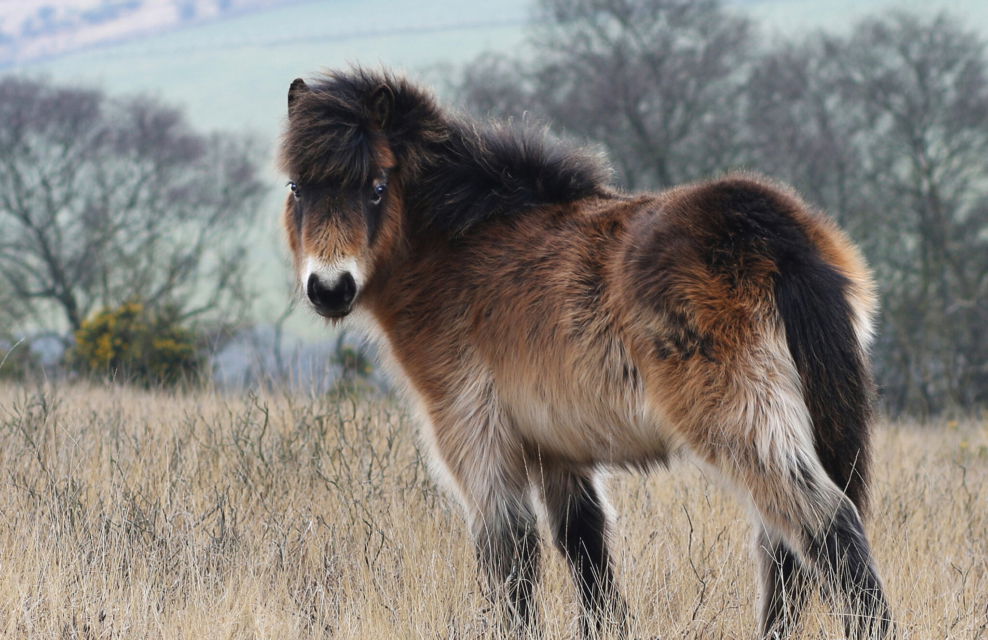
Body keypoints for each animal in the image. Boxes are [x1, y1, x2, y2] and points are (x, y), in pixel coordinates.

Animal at [278, 68, 893, 639]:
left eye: (376, 186)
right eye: (296, 188)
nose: (329, 288)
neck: (456, 251)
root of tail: (777, 236)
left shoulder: (477, 441)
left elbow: (511, 560)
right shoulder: (555, 447)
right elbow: (586, 550)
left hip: (741, 424)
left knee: (826, 526)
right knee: (787, 552)